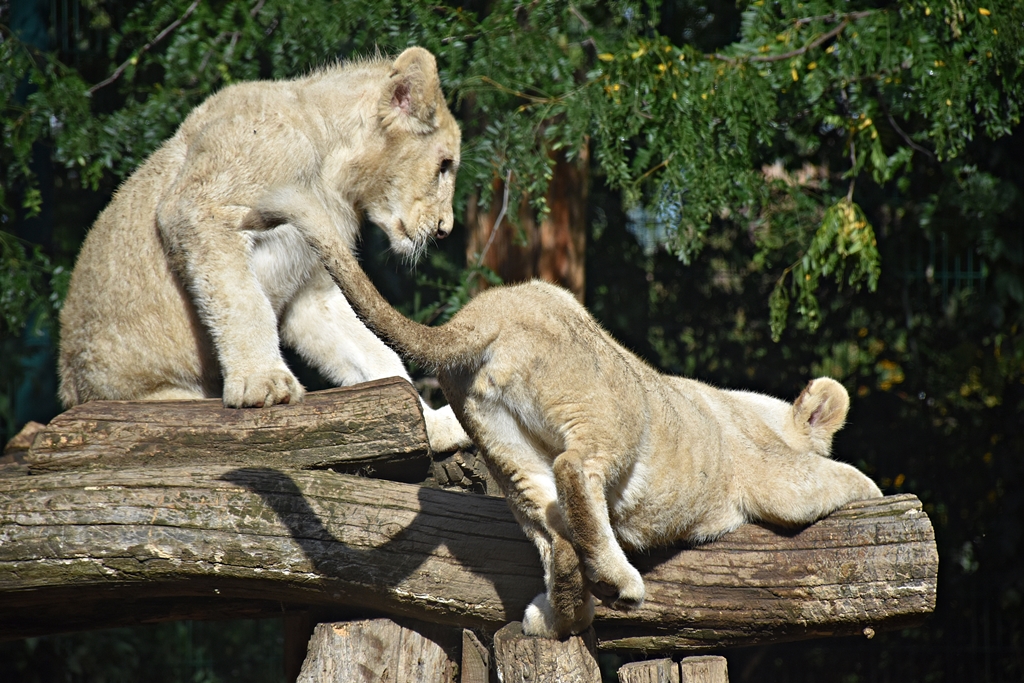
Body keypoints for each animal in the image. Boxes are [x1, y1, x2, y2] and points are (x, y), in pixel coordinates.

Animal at [58, 47, 471, 453]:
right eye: (444, 164)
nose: (445, 230)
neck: (330, 170)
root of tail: (72, 391)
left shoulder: (312, 289)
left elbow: (373, 351)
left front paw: (434, 425)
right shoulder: (202, 208)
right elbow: (242, 300)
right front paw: (264, 383)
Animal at [247, 187, 885, 638]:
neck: (756, 412)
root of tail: (481, 316)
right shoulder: (774, 478)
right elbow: (838, 478)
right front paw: (879, 493)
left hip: (502, 445)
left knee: (553, 530)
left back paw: (556, 617)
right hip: (609, 414)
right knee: (578, 472)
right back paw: (621, 582)